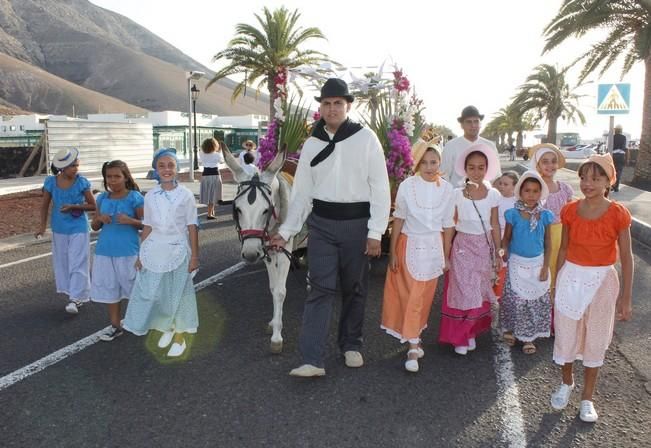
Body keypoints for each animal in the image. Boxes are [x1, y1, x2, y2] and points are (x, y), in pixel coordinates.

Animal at [223, 145, 296, 352]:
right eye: (237, 209)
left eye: (266, 210)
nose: (249, 254)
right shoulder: (267, 251)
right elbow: (273, 287)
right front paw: (274, 321)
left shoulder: (286, 247)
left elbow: (280, 291)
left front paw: (277, 336)